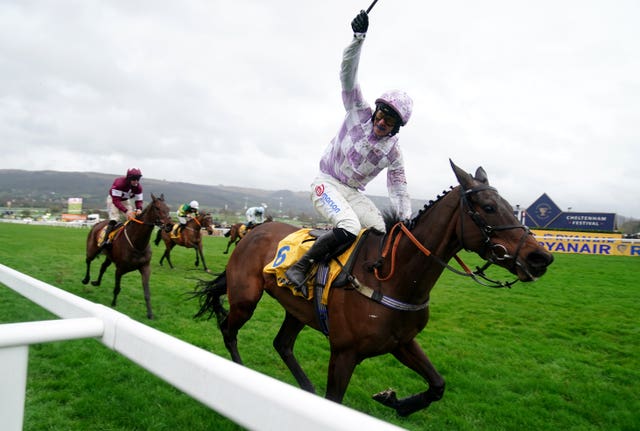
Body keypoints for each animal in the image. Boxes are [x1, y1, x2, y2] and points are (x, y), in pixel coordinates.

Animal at [192, 161, 552, 416]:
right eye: (489, 207)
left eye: (510, 204)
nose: (541, 257)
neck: (391, 276)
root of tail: (251, 231)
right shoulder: (344, 352)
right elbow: (335, 400)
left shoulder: (401, 341)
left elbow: (437, 384)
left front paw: (395, 401)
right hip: (245, 298)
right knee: (229, 330)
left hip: (297, 309)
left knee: (282, 344)